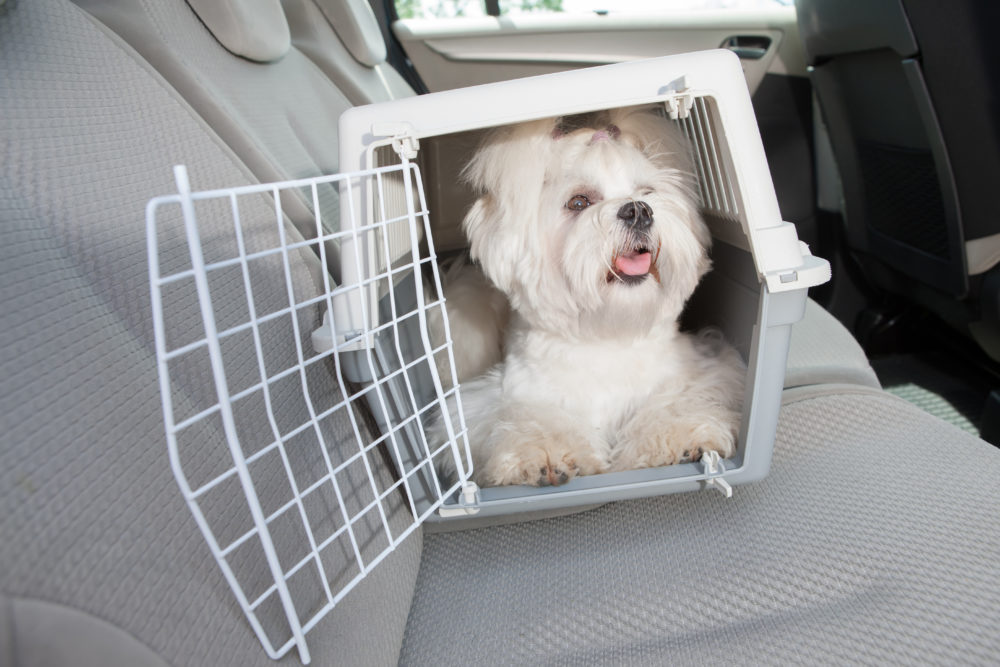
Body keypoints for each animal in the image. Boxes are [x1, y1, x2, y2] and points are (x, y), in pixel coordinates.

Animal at [436, 107, 744, 488]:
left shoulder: (697, 372)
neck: (606, 336)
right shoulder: (506, 396)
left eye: (648, 192)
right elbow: (531, 419)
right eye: (579, 202)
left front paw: (678, 437)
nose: (639, 210)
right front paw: (544, 454)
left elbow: (675, 402)